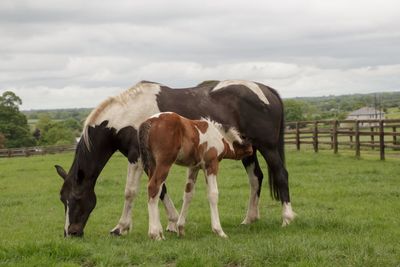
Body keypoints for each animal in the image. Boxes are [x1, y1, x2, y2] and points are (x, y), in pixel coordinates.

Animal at [139, 112, 252, 240]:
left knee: (156, 192)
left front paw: (181, 228)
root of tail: (150, 122)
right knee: (154, 187)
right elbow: (213, 194)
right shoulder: (211, 165)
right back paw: (155, 234)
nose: (252, 152)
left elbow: (188, 194)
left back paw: (160, 233)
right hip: (164, 163)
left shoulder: (194, 168)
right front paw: (219, 231)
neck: (219, 136)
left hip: (152, 165)